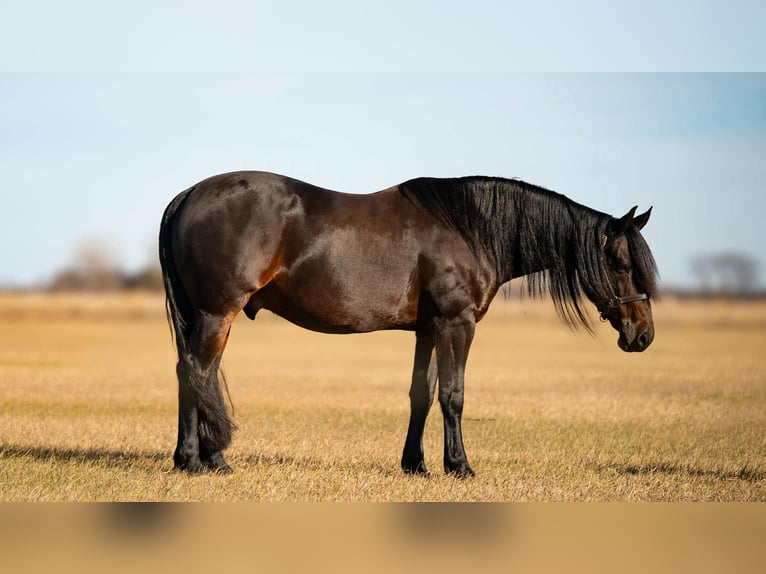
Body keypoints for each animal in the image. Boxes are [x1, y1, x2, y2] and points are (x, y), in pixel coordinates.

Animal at [159, 171, 658, 476]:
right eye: (620, 264)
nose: (643, 335)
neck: (472, 230)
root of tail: (188, 195)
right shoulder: (457, 323)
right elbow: (453, 395)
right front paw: (459, 466)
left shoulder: (429, 328)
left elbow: (423, 393)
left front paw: (415, 464)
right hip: (216, 313)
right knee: (193, 373)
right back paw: (193, 460)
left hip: (213, 317)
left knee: (200, 376)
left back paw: (213, 458)